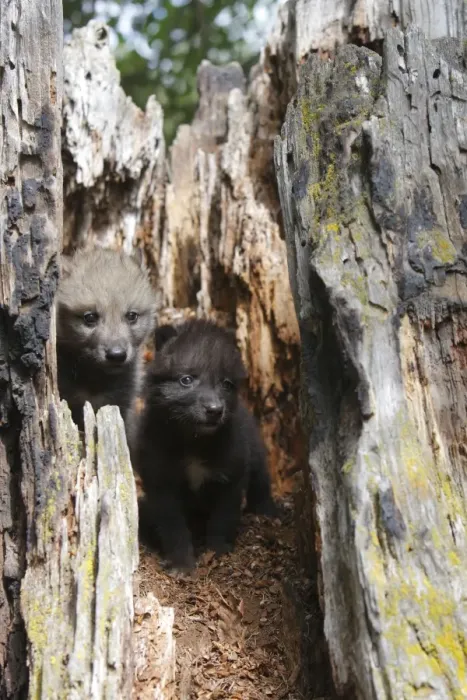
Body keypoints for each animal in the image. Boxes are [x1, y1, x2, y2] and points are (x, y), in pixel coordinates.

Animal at [136, 319, 277, 572]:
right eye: (186, 379)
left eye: (226, 384)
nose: (214, 410)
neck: (194, 442)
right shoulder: (162, 483)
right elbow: (174, 527)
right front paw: (181, 564)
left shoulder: (231, 477)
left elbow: (222, 519)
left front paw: (217, 553)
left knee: (261, 484)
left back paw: (267, 513)